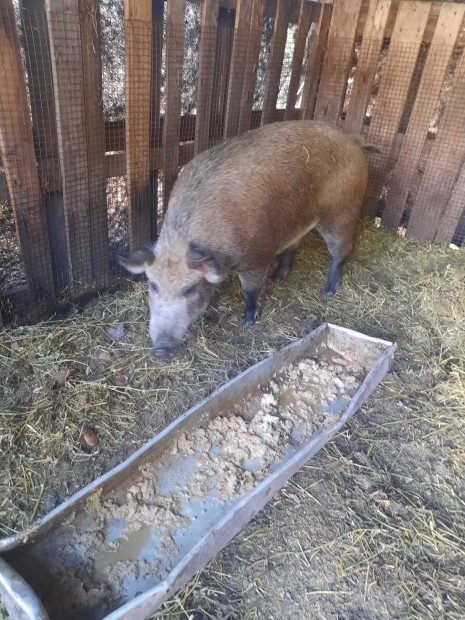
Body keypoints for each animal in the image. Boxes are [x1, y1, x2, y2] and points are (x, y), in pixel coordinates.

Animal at [118, 120, 376, 358]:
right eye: (153, 285)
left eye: (189, 289)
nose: (160, 351)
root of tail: (352, 140)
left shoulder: (256, 256)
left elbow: (251, 290)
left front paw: (248, 323)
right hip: (299, 220)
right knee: (295, 245)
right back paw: (279, 277)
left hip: (341, 210)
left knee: (342, 249)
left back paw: (329, 291)